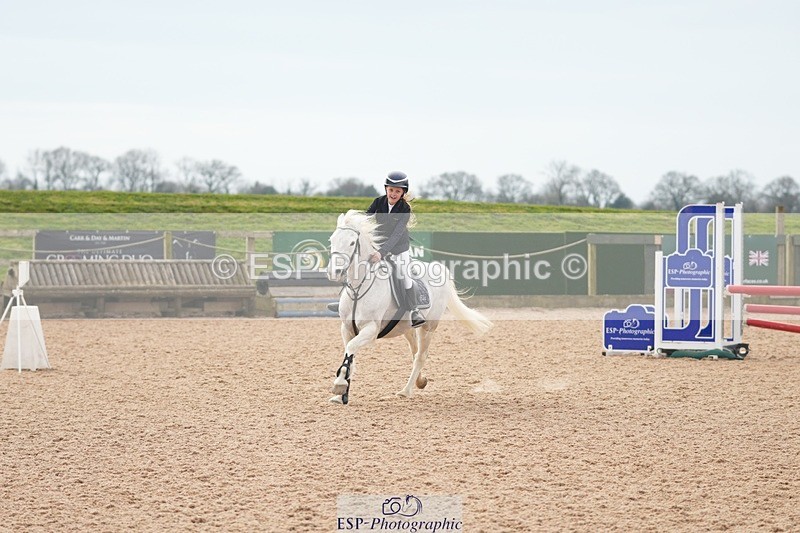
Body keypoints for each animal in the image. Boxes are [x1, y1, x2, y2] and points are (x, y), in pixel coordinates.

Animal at [326, 209, 493, 405]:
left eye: (352, 242)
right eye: (332, 239)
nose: (334, 272)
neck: (359, 287)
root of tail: (440, 270)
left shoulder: (371, 330)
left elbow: (351, 349)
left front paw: (339, 385)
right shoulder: (346, 328)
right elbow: (349, 355)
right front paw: (341, 395)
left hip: (428, 327)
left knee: (420, 356)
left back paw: (406, 391)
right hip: (406, 328)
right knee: (414, 352)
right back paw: (420, 381)